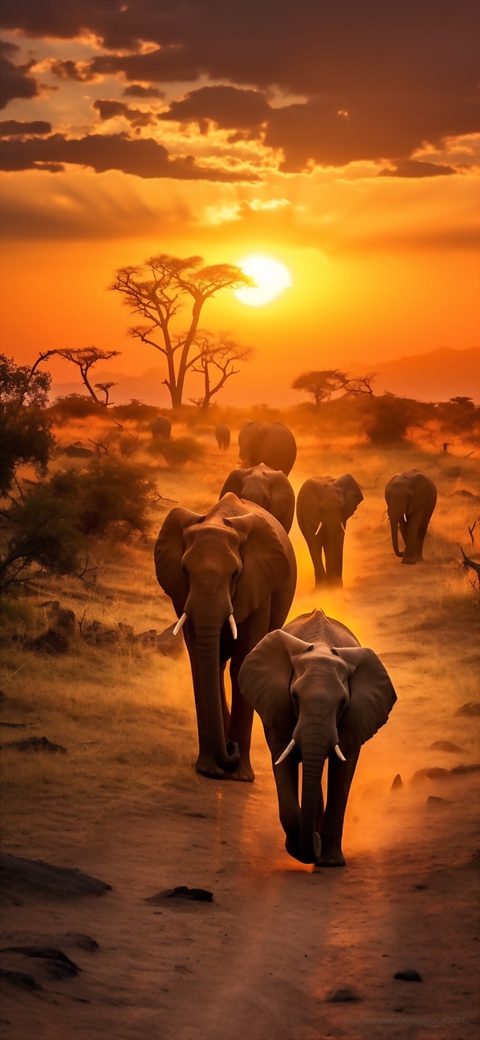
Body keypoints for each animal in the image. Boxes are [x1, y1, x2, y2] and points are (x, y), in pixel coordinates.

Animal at [154, 492, 296, 782]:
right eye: (185, 571)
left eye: (235, 574)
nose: (231, 750)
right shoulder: (183, 596)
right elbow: (200, 661)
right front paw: (208, 770)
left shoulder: (258, 586)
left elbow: (243, 662)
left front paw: (240, 777)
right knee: (216, 664)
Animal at [238, 608, 396, 866]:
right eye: (295, 696)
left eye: (343, 702)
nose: (316, 842)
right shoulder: (278, 708)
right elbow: (283, 760)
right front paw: (304, 846)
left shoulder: (355, 717)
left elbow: (343, 771)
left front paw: (330, 861)